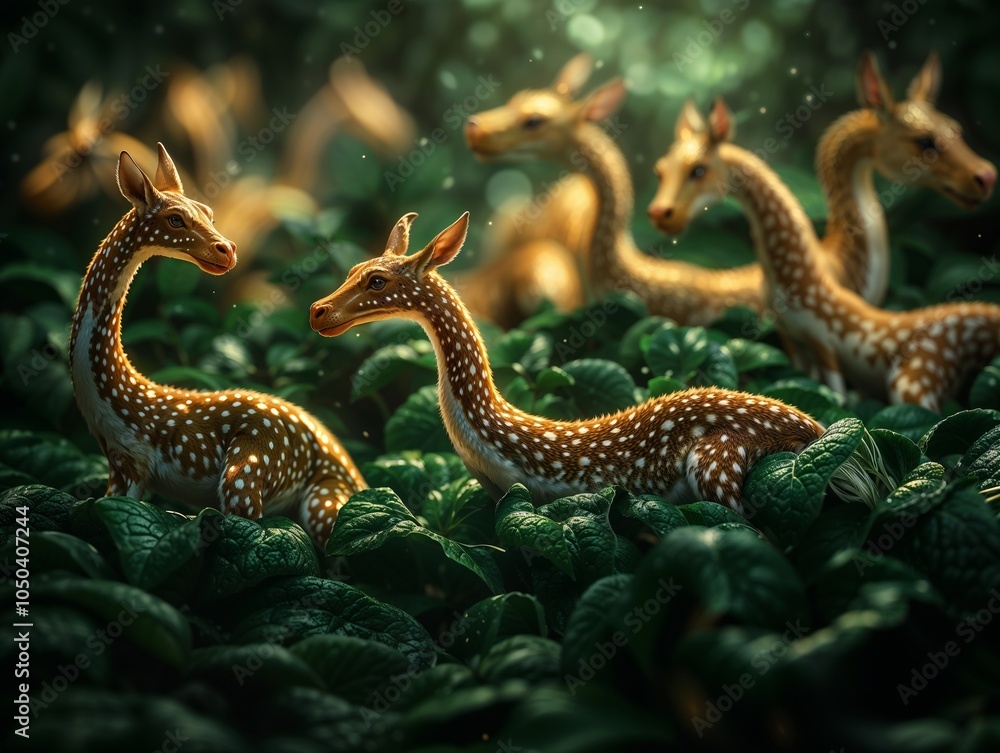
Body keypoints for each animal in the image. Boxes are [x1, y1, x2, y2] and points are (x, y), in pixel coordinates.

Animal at [69, 143, 366, 547]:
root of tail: (354, 472)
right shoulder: (117, 465)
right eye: (176, 219)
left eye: (208, 212)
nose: (228, 249)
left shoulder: (137, 463)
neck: (113, 402)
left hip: (256, 468)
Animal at [310, 212, 825, 514]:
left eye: (377, 280)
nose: (317, 310)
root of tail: (816, 429)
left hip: (717, 462)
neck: (490, 435)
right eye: (352, 270)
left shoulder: (529, 494)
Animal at [648, 98, 1000, 412]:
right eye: (659, 171)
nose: (661, 214)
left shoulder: (823, 344)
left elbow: (838, 396)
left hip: (914, 382)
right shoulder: (795, 338)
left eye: (698, 170)